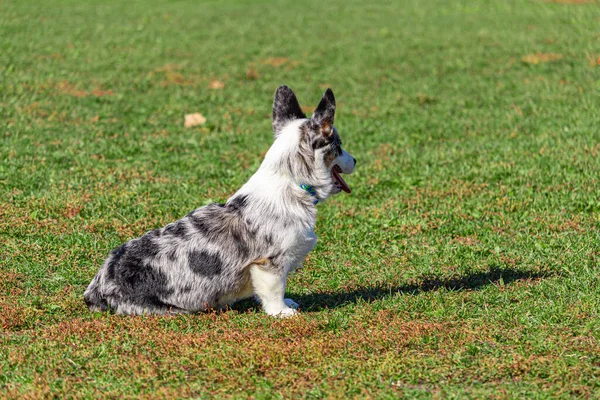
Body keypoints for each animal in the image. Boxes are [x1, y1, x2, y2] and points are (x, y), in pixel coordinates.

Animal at [85, 86, 356, 318]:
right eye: (339, 145)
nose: (355, 160)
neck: (290, 182)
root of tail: (96, 288)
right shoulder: (269, 264)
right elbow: (274, 290)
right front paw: (282, 312)